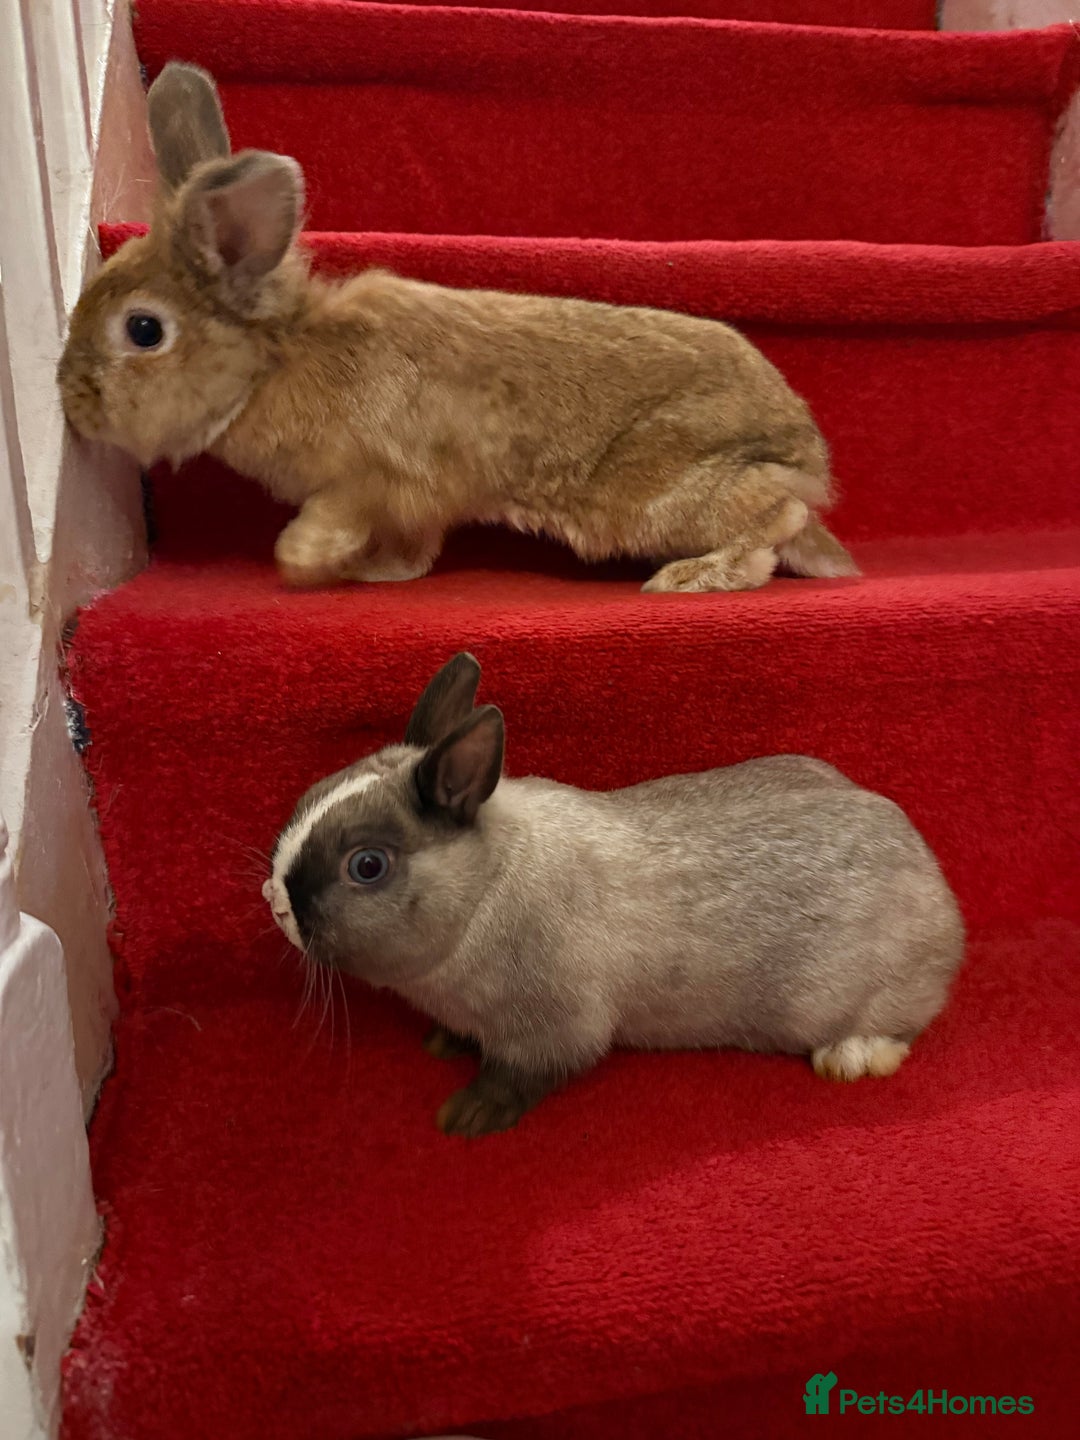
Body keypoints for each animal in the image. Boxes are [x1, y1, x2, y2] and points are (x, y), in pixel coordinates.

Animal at [58, 62, 858, 597]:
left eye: (142, 330)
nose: (73, 403)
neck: (274, 361)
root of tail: (804, 455)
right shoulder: (412, 506)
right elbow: (415, 551)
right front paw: (378, 573)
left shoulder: (368, 478)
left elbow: (328, 525)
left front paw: (307, 566)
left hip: (657, 499)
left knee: (770, 521)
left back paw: (689, 577)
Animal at [264, 653, 963, 1138]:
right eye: (310, 795)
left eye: (368, 865)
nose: (275, 902)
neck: (480, 889)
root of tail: (938, 887)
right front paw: (445, 1044)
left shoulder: (555, 1028)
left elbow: (522, 1076)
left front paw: (467, 1115)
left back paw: (849, 1058)